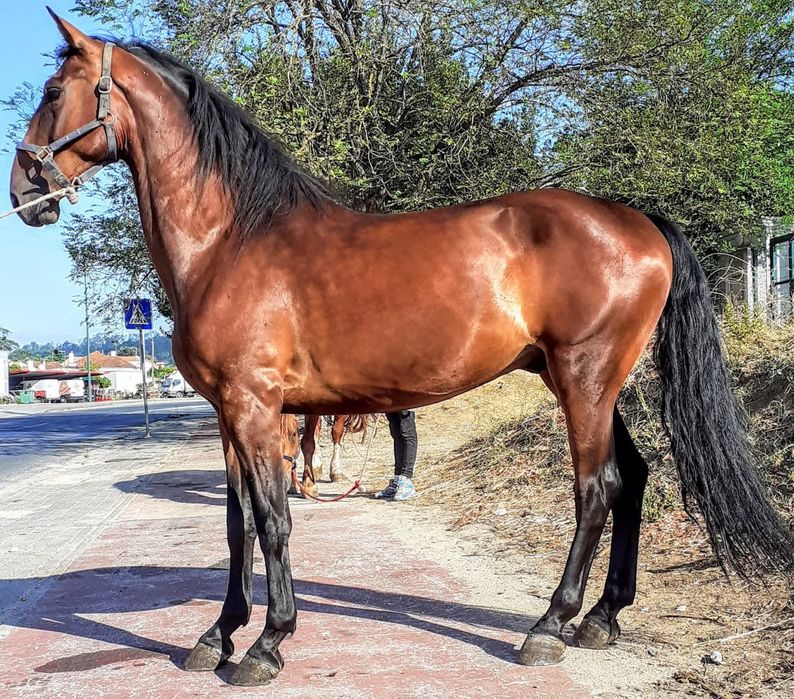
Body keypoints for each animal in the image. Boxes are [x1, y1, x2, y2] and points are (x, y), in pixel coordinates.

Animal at [10, 13, 792, 686]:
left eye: (53, 92)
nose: (25, 188)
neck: (231, 241)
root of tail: (638, 221)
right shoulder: (232, 415)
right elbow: (237, 524)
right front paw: (218, 634)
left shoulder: (255, 405)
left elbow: (273, 519)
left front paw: (267, 642)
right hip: (588, 382)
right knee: (634, 475)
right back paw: (602, 618)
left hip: (585, 377)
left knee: (596, 488)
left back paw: (549, 625)